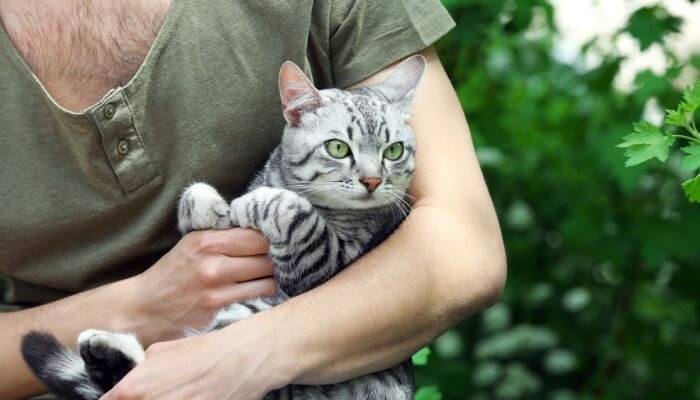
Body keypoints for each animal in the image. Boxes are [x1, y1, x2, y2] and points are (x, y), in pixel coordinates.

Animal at [21, 54, 424, 400]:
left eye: (392, 151)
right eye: (338, 148)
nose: (372, 181)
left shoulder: (326, 262)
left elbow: (294, 212)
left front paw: (252, 204)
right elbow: (195, 197)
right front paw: (212, 208)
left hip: (254, 324)